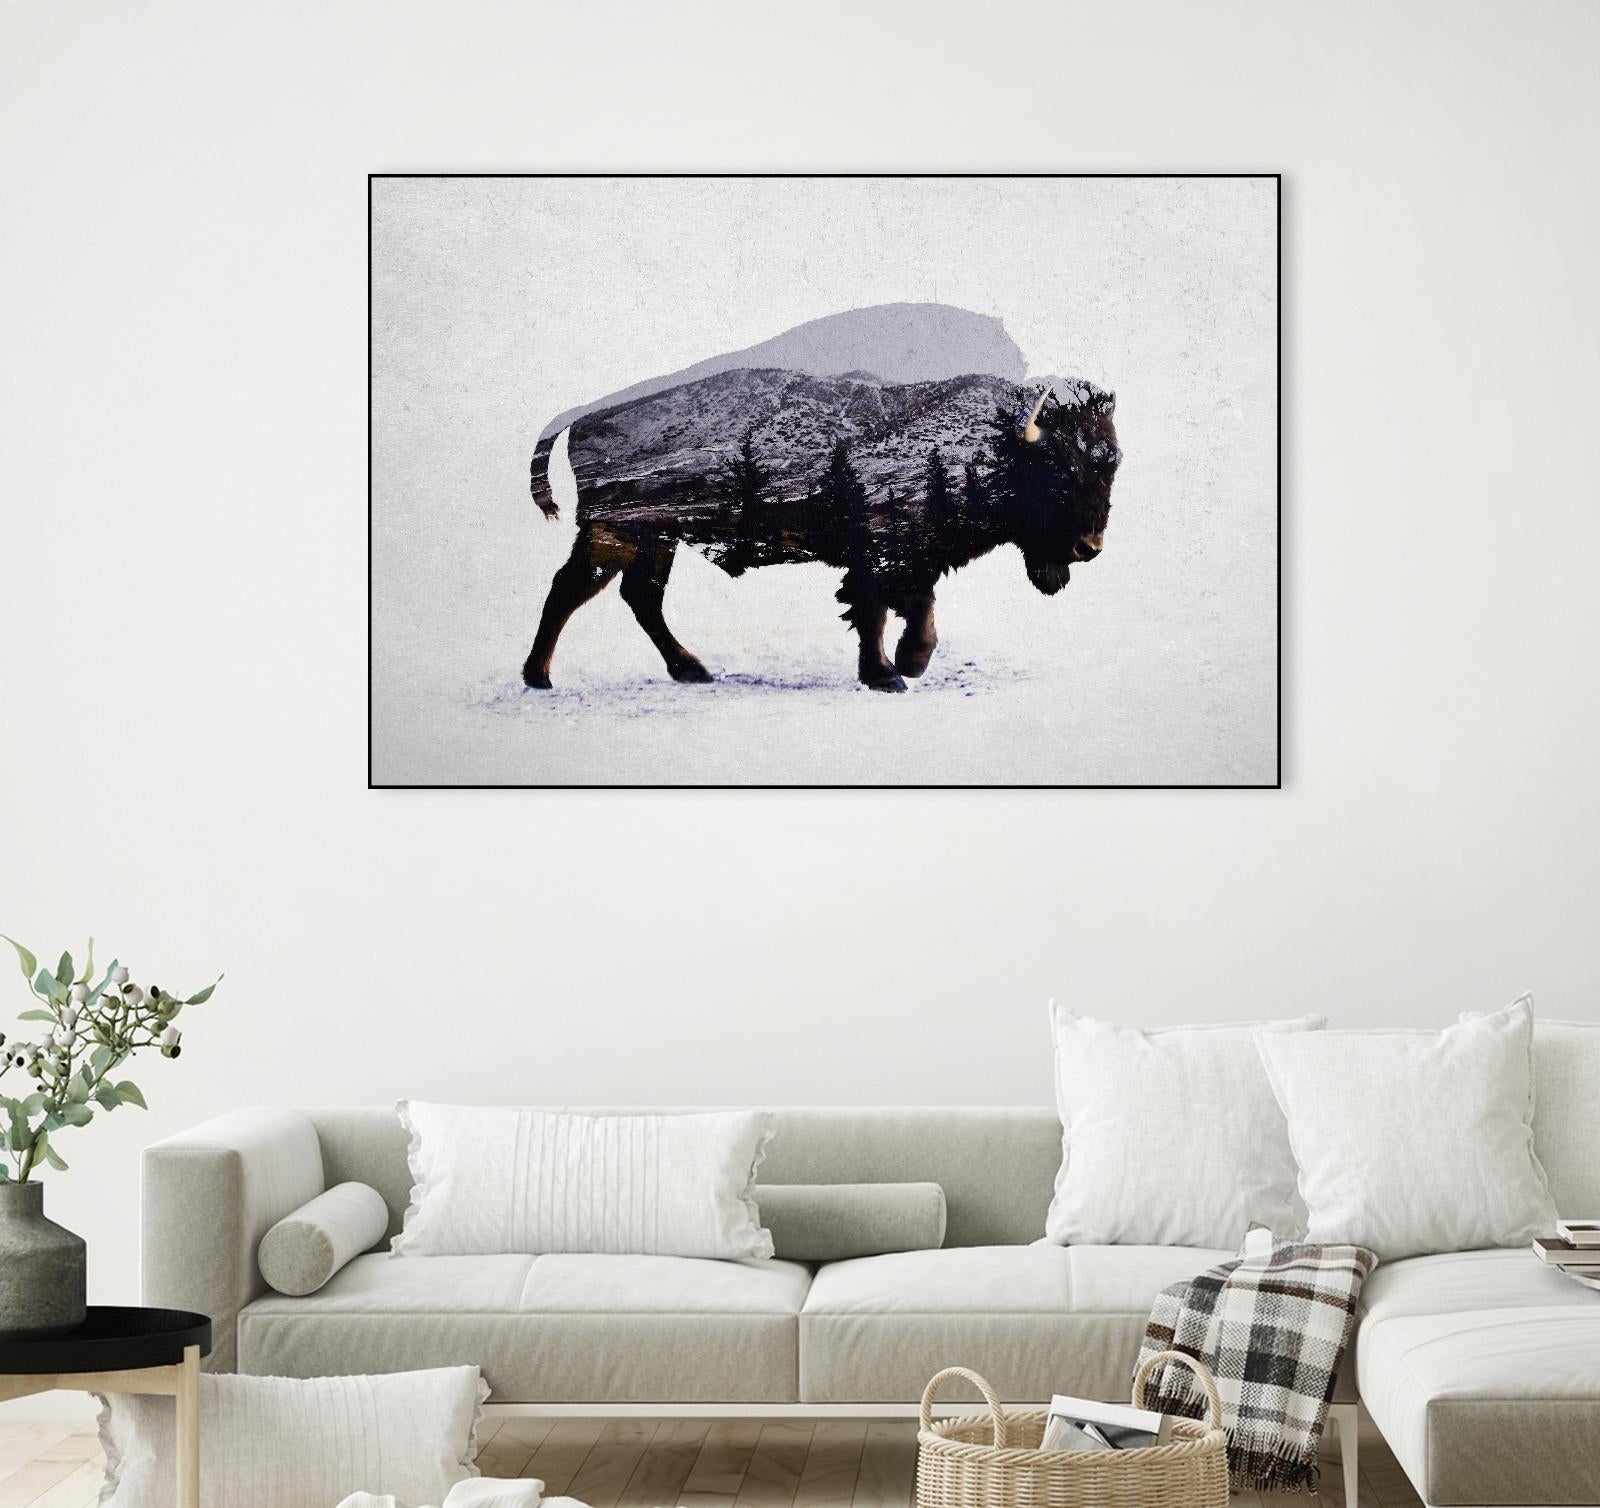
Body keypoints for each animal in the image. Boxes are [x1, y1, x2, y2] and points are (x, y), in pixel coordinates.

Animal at [524, 366, 1120, 691]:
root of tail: (582, 415)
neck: (993, 441)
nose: (1088, 547)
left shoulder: (914, 559)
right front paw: (890, 674)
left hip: (655, 539)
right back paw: (539, 677)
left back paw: (691, 670)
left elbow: (917, 609)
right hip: (614, 534)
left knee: (639, 596)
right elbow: (876, 609)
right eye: (1061, 469)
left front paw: (910, 663)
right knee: (571, 590)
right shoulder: (881, 553)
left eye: (1110, 464)